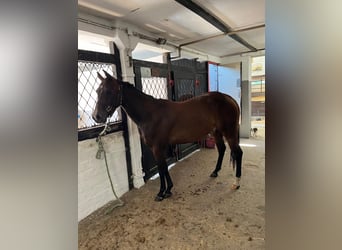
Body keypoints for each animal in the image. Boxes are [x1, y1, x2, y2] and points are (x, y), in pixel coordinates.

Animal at [93, 70, 243, 201]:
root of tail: (229, 99)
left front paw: (160, 193)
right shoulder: (159, 147)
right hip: (216, 132)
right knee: (222, 149)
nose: (96, 116)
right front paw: (169, 189)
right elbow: (164, 167)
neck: (150, 113)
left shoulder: (157, 147)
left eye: (109, 91)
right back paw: (215, 172)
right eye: (97, 91)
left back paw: (237, 182)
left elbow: (161, 168)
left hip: (229, 132)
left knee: (238, 153)